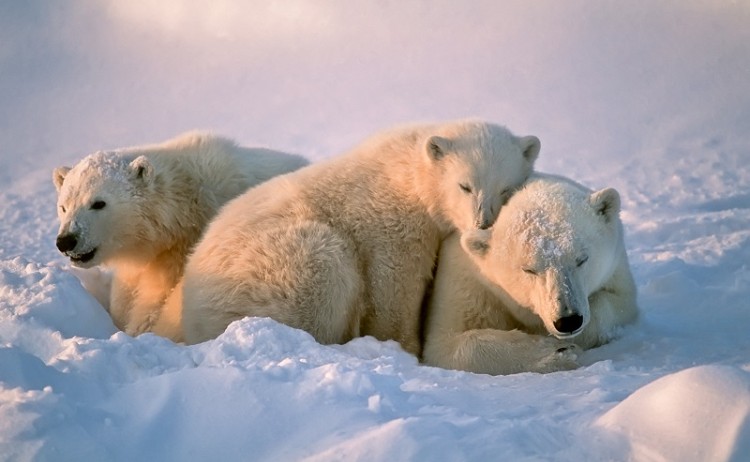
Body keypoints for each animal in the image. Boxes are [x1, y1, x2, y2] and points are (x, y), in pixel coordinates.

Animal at [178, 120, 541, 354]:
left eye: (506, 189)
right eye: (464, 185)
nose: (483, 223)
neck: (409, 175)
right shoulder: (391, 222)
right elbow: (394, 285)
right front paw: (403, 347)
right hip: (274, 268)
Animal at [422, 173, 639, 375]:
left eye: (581, 259)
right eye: (529, 269)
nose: (568, 320)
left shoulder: (616, 267)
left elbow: (619, 305)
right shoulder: (467, 283)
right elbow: (445, 344)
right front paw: (556, 352)